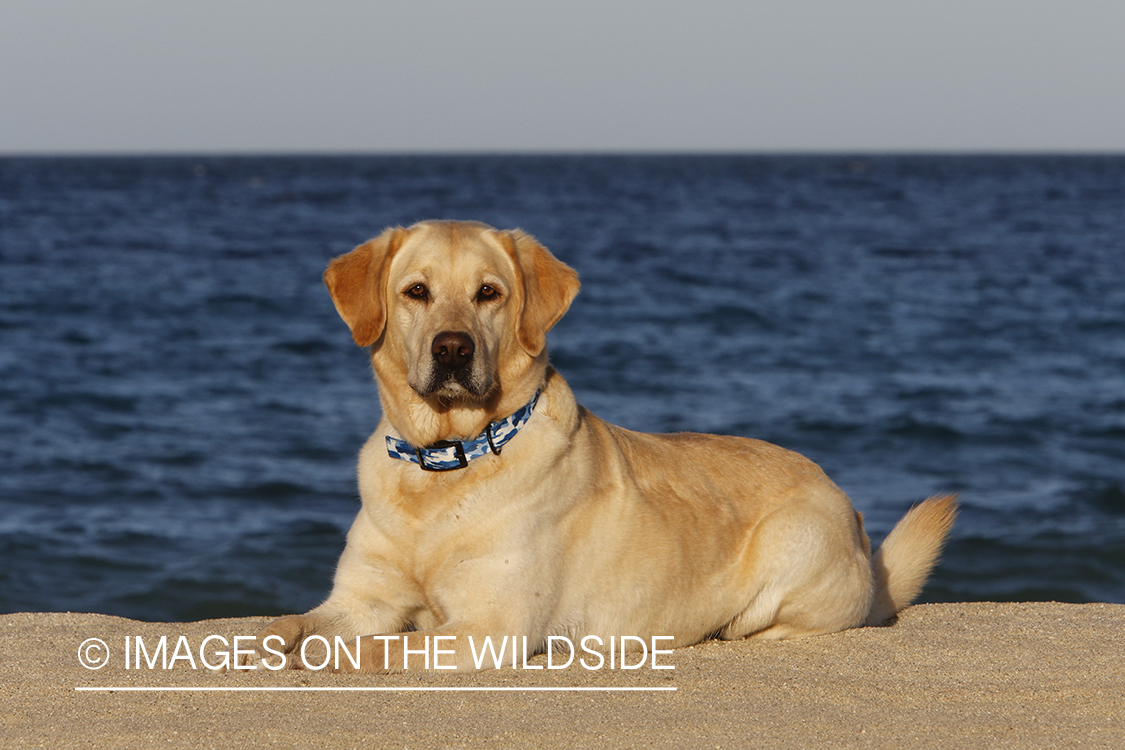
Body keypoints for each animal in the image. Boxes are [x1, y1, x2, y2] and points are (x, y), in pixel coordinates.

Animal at [255, 220, 958, 670]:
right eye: (416, 292)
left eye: (489, 292)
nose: (453, 348)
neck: (445, 464)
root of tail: (854, 515)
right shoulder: (358, 599)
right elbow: (285, 626)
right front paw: (271, 640)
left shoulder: (489, 627)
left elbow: (370, 648)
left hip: (796, 542)